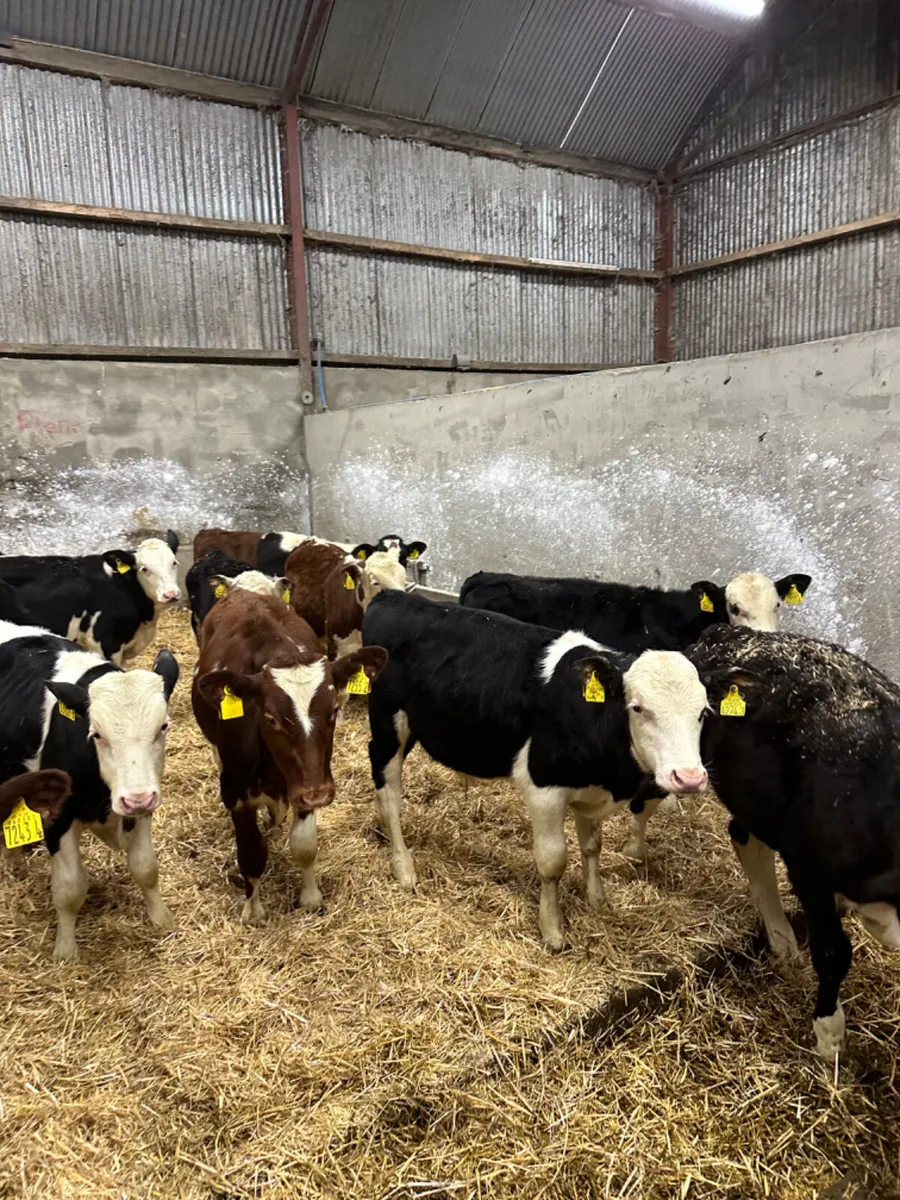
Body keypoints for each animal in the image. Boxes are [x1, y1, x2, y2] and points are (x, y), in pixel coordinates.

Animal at [0, 621, 179, 960]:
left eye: (163, 726)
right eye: (96, 734)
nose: (136, 799)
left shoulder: (144, 804)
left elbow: (145, 867)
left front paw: (161, 919)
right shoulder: (56, 816)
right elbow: (70, 887)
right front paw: (66, 951)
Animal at [192, 588, 387, 925]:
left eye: (334, 710)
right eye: (271, 718)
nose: (319, 793)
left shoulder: (306, 780)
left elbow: (305, 845)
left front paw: (310, 898)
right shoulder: (236, 792)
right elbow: (251, 853)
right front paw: (253, 910)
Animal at [362, 590, 709, 950]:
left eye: (703, 712)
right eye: (638, 707)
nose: (689, 777)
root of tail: (394, 596)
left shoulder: (589, 790)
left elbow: (592, 845)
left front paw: (595, 897)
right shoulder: (544, 788)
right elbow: (552, 860)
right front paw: (552, 928)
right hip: (388, 724)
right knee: (389, 790)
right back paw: (403, 867)